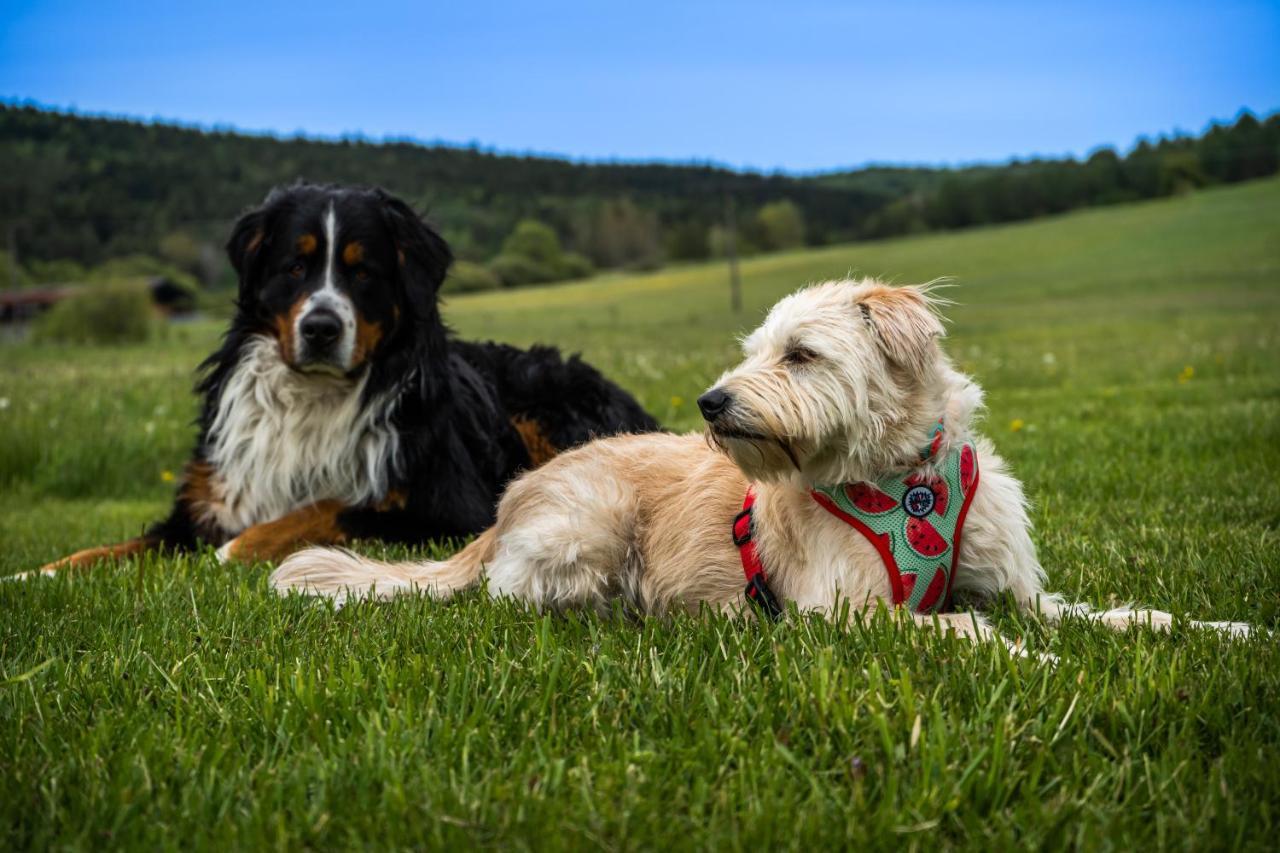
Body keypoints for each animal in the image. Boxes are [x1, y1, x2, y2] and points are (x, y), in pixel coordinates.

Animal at [42, 185, 660, 571]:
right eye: (295, 266)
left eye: (363, 272)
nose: (320, 328)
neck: (312, 398)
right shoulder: (210, 499)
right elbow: (124, 544)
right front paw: (44, 571)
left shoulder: (444, 504)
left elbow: (329, 507)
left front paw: (241, 547)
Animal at [267, 279, 1249, 645]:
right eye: (753, 351)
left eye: (801, 354)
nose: (711, 402)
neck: (899, 479)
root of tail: (513, 499)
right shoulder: (846, 611)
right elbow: (965, 628)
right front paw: (1027, 660)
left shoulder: (1021, 589)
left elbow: (1118, 614)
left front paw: (1222, 630)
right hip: (591, 522)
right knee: (522, 593)